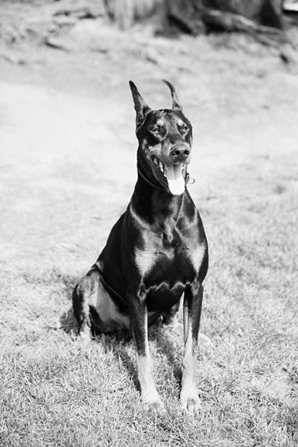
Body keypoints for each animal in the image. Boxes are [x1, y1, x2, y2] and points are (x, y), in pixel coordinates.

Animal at [72, 80, 207, 416]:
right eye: (156, 129)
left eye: (184, 128)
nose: (180, 151)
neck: (167, 207)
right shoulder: (138, 291)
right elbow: (144, 354)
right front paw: (151, 399)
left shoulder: (196, 286)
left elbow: (190, 347)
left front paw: (189, 396)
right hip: (89, 281)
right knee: (87, 324)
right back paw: (83, 345)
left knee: (173, 325)